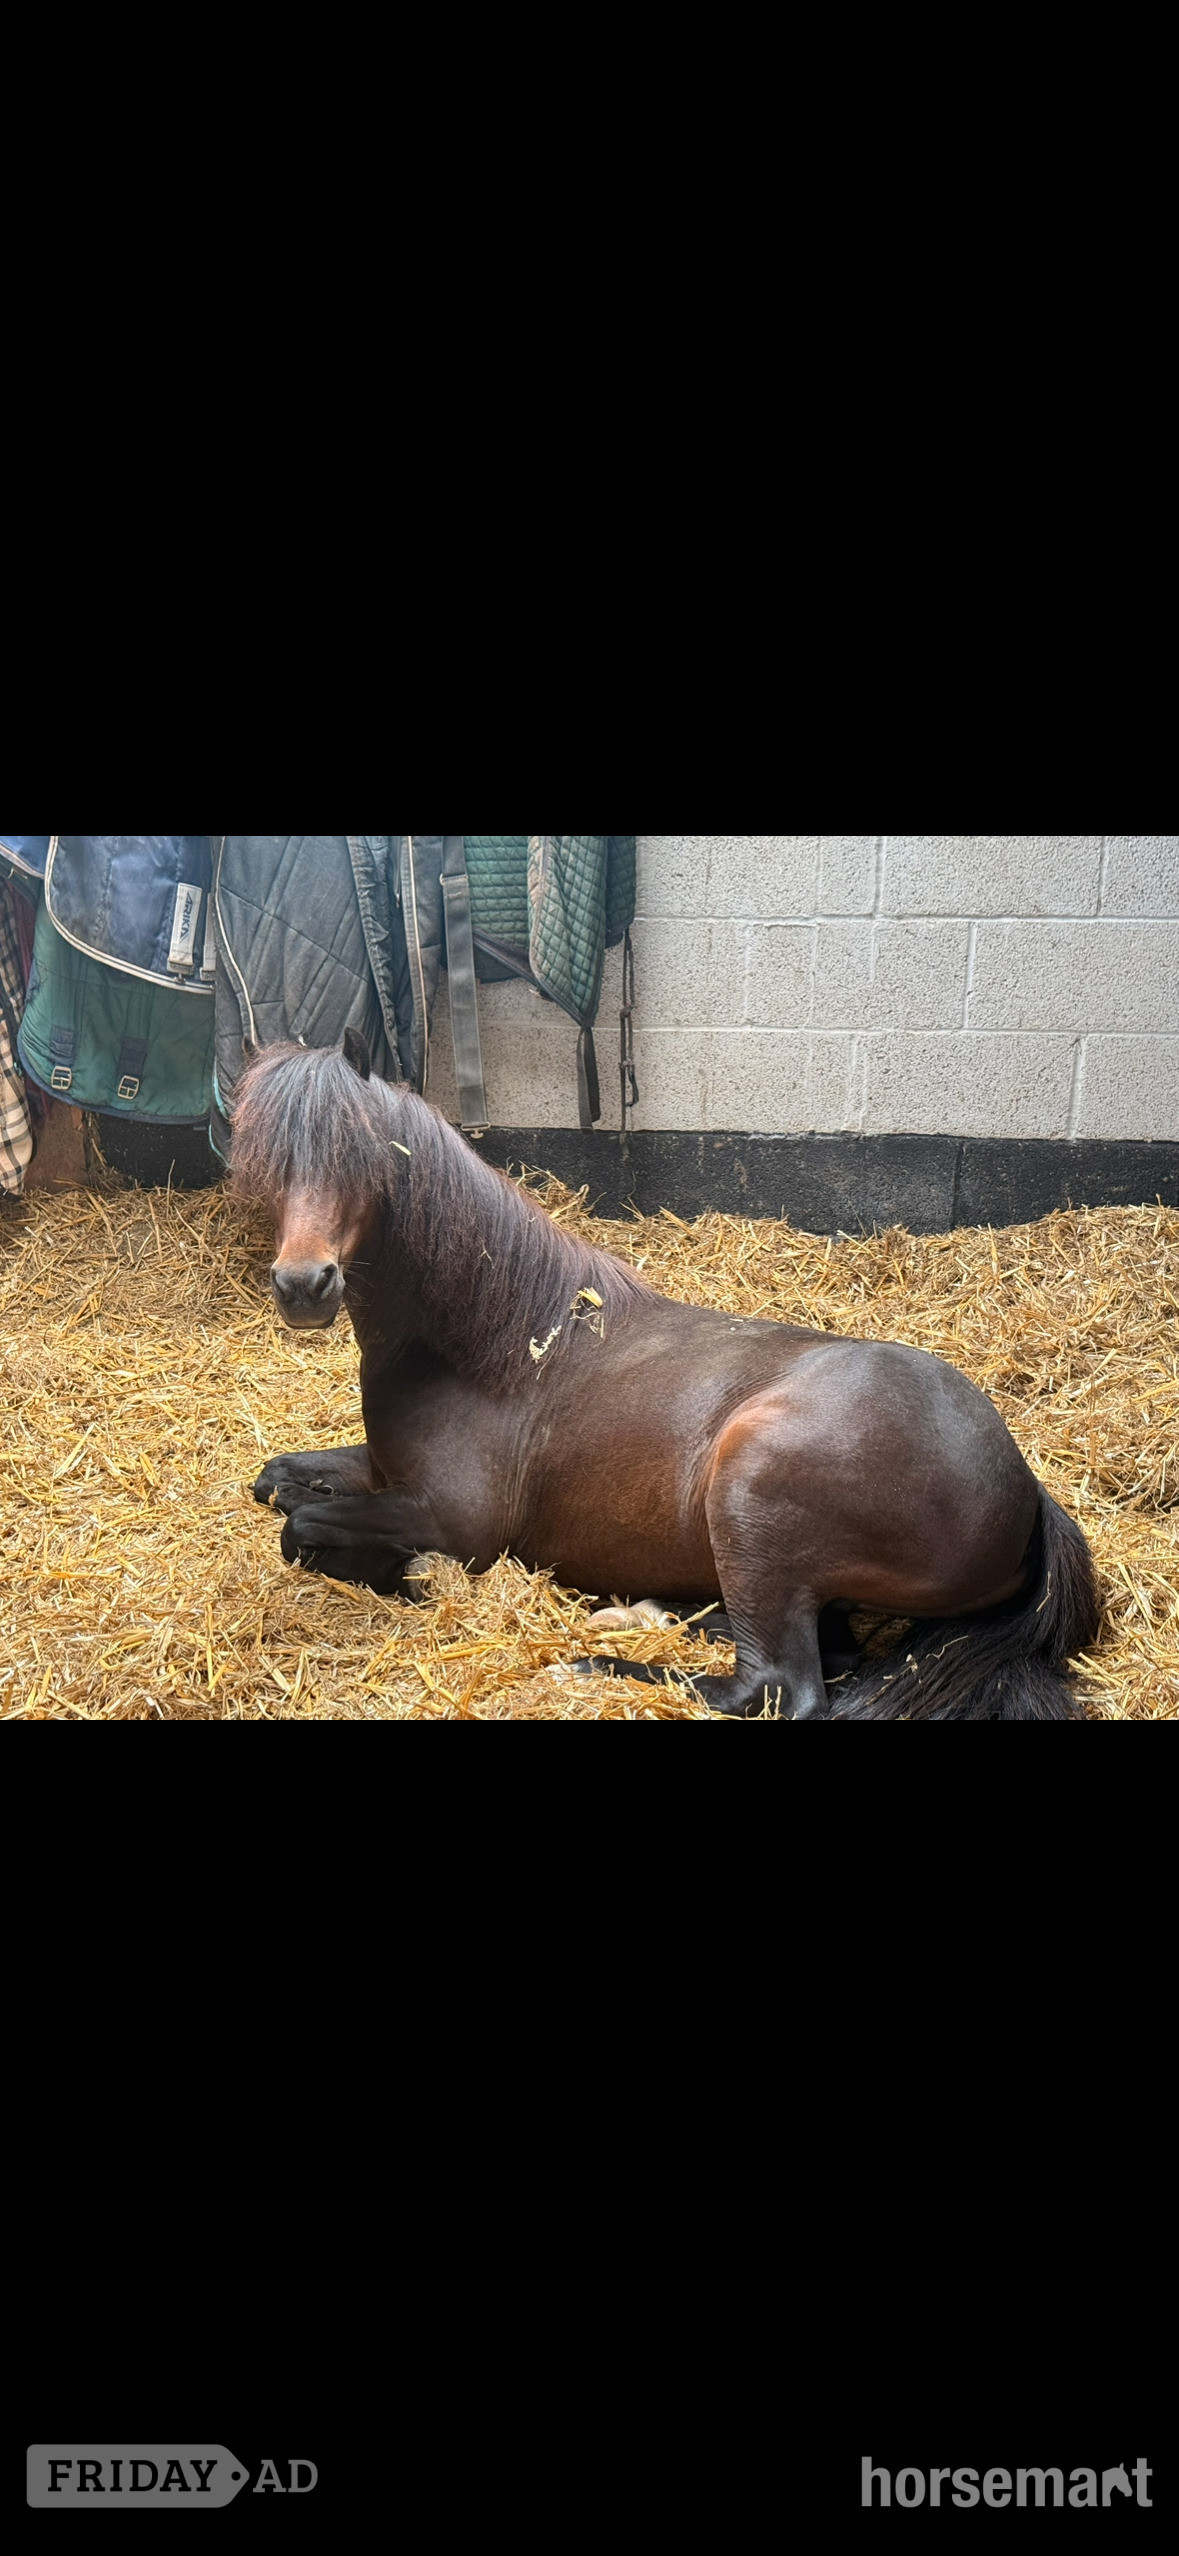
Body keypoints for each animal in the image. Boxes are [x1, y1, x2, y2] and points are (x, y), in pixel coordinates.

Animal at [230, 1035, 1100, 1720]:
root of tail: (1024, 1490)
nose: (303, 1285)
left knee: (774, 1687)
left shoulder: (454, 1520)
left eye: (364, 1152)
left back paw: (588, 1660)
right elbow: (280, 1481)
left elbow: (300, 1530)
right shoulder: (387, 1472)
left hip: (750, 1495)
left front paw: (405, 1573)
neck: (491, 1344)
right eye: (266, 1161)